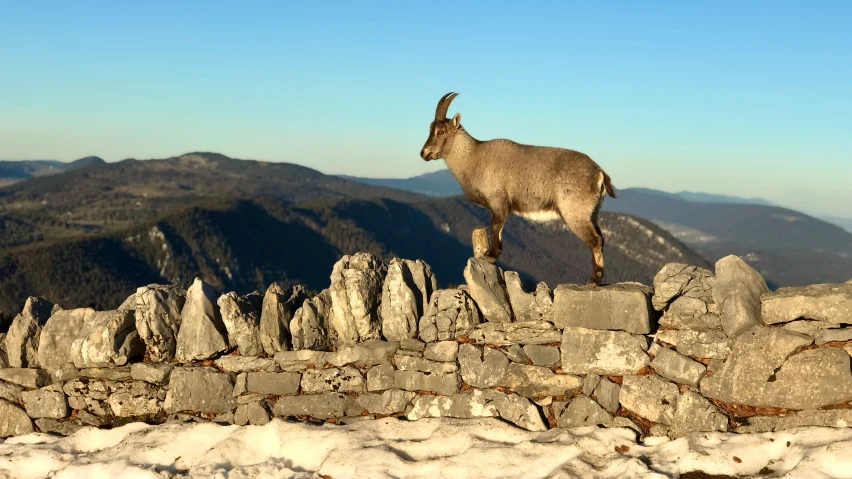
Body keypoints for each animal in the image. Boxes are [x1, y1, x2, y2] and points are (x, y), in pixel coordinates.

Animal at [422, 93, 616, 284]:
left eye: (441, 131)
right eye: (431, 129)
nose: (423, 153)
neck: (473, 157)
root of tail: (599, 173)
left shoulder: (498, 200)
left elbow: (496, 226)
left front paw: (490, 255)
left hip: (575, 214)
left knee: (595, 240)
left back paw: (594, 279)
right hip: (592, 214)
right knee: (601, 238)